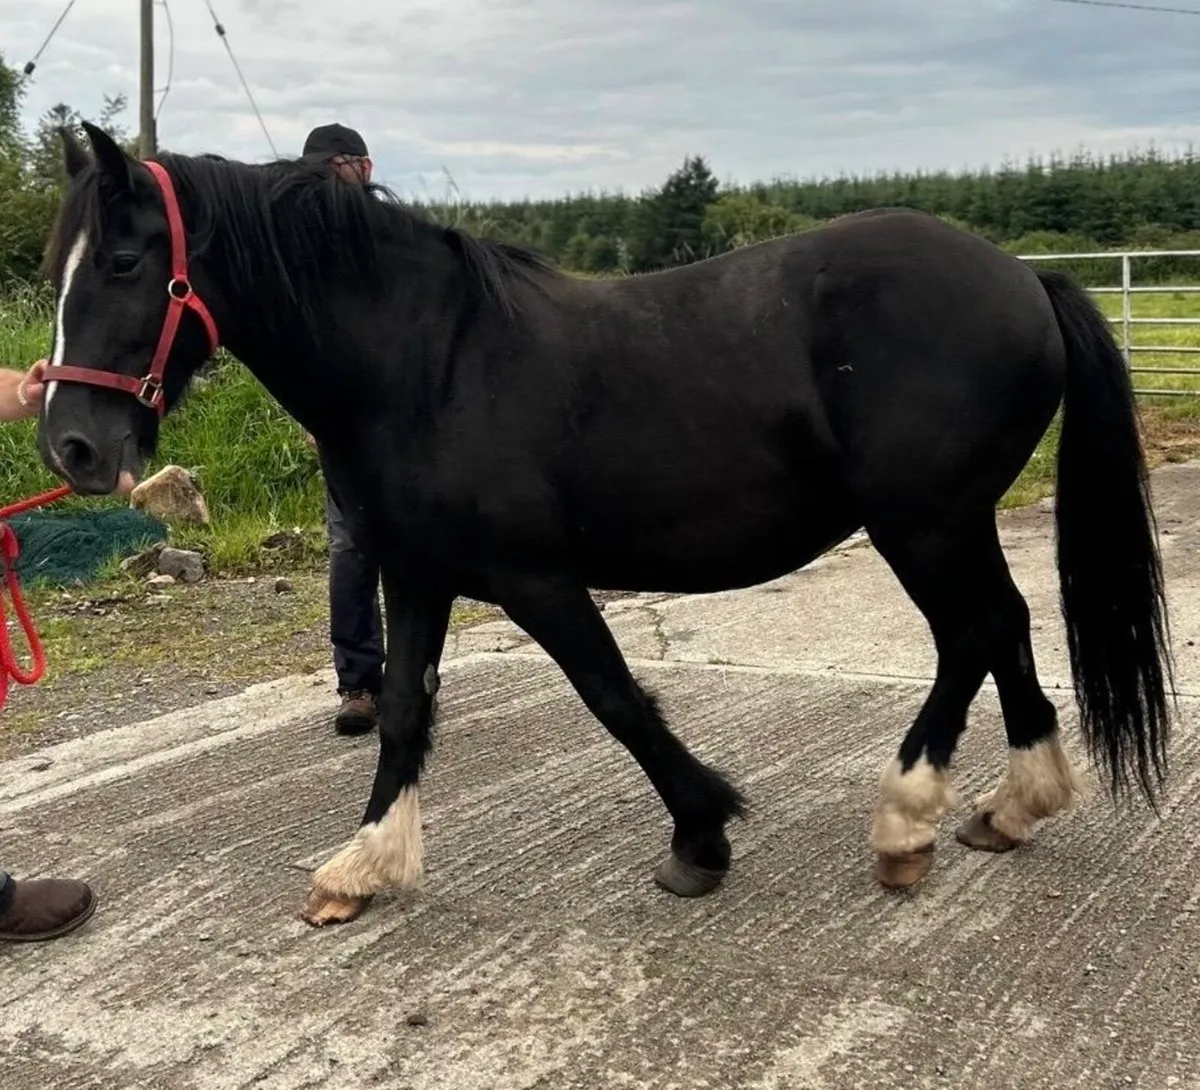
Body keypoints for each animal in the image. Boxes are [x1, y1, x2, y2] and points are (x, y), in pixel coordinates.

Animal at [35, 122, 1174, 927]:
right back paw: (1009, 806)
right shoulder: (416, 572)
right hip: (948, 522)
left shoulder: (536, 580)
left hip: (923, 522)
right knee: (1004, 626)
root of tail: (1023, 276)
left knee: (971, 632)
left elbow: (616, 698)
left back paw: (906, 820)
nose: (72, 447)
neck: (427, 361)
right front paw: (363, 866)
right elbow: (402, 709)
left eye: (127, 263)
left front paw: (701, 839)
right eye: (59, 268)